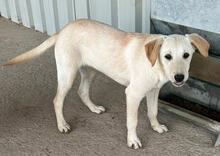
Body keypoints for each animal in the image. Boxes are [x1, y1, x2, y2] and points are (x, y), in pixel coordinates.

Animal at [3, 18, 210, 149]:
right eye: (167, 56)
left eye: (186, 55)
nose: (179, 78)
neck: (154, 64)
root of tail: (64, 29)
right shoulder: (133, 94)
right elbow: (133, 121)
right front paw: (132, 141)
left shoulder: (153, 91)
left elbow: (153, 112)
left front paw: (156, 127)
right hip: (67, 73)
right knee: (57, 100)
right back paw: (62, 125)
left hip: (90, 70)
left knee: (82, 91)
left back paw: (94, 108)